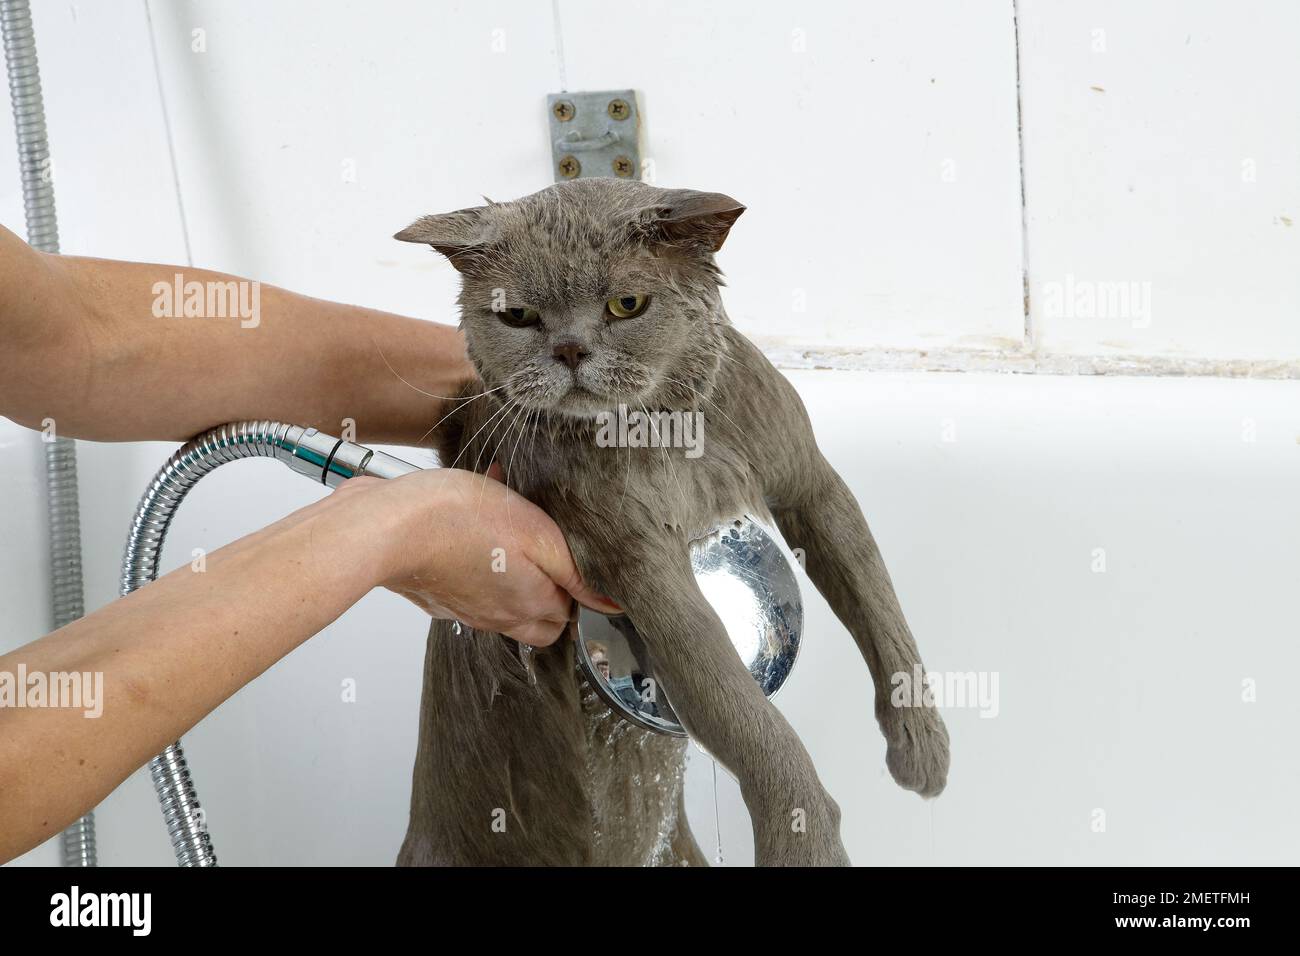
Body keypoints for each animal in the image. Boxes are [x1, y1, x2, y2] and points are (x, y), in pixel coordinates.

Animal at [390, 179, 951, 868]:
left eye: (626, 304)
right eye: (517, 316)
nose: (569, 349)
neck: (670, 438)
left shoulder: (811, 483)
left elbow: (880, 608)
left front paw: (922, 748)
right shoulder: (636, 559)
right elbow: (749, 718)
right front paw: (806, 840)